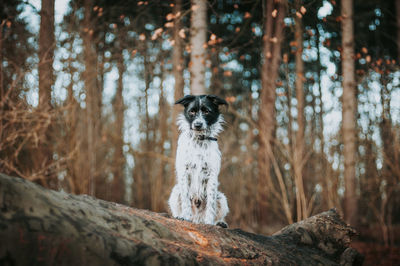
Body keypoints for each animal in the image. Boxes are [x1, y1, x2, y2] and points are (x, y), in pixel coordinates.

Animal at [168, 94, 230, 228]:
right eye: (192, 111)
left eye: (207, 111)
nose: (197, 124)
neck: (199, 140)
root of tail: (197, 219)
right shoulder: (184, 172)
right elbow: (186, 199)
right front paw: (185, 217)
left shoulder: (211, 174)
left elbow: (211, 204)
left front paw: (209, 222)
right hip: (175, 192)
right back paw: (179, 216)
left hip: (221, 198)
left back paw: (219, 223)